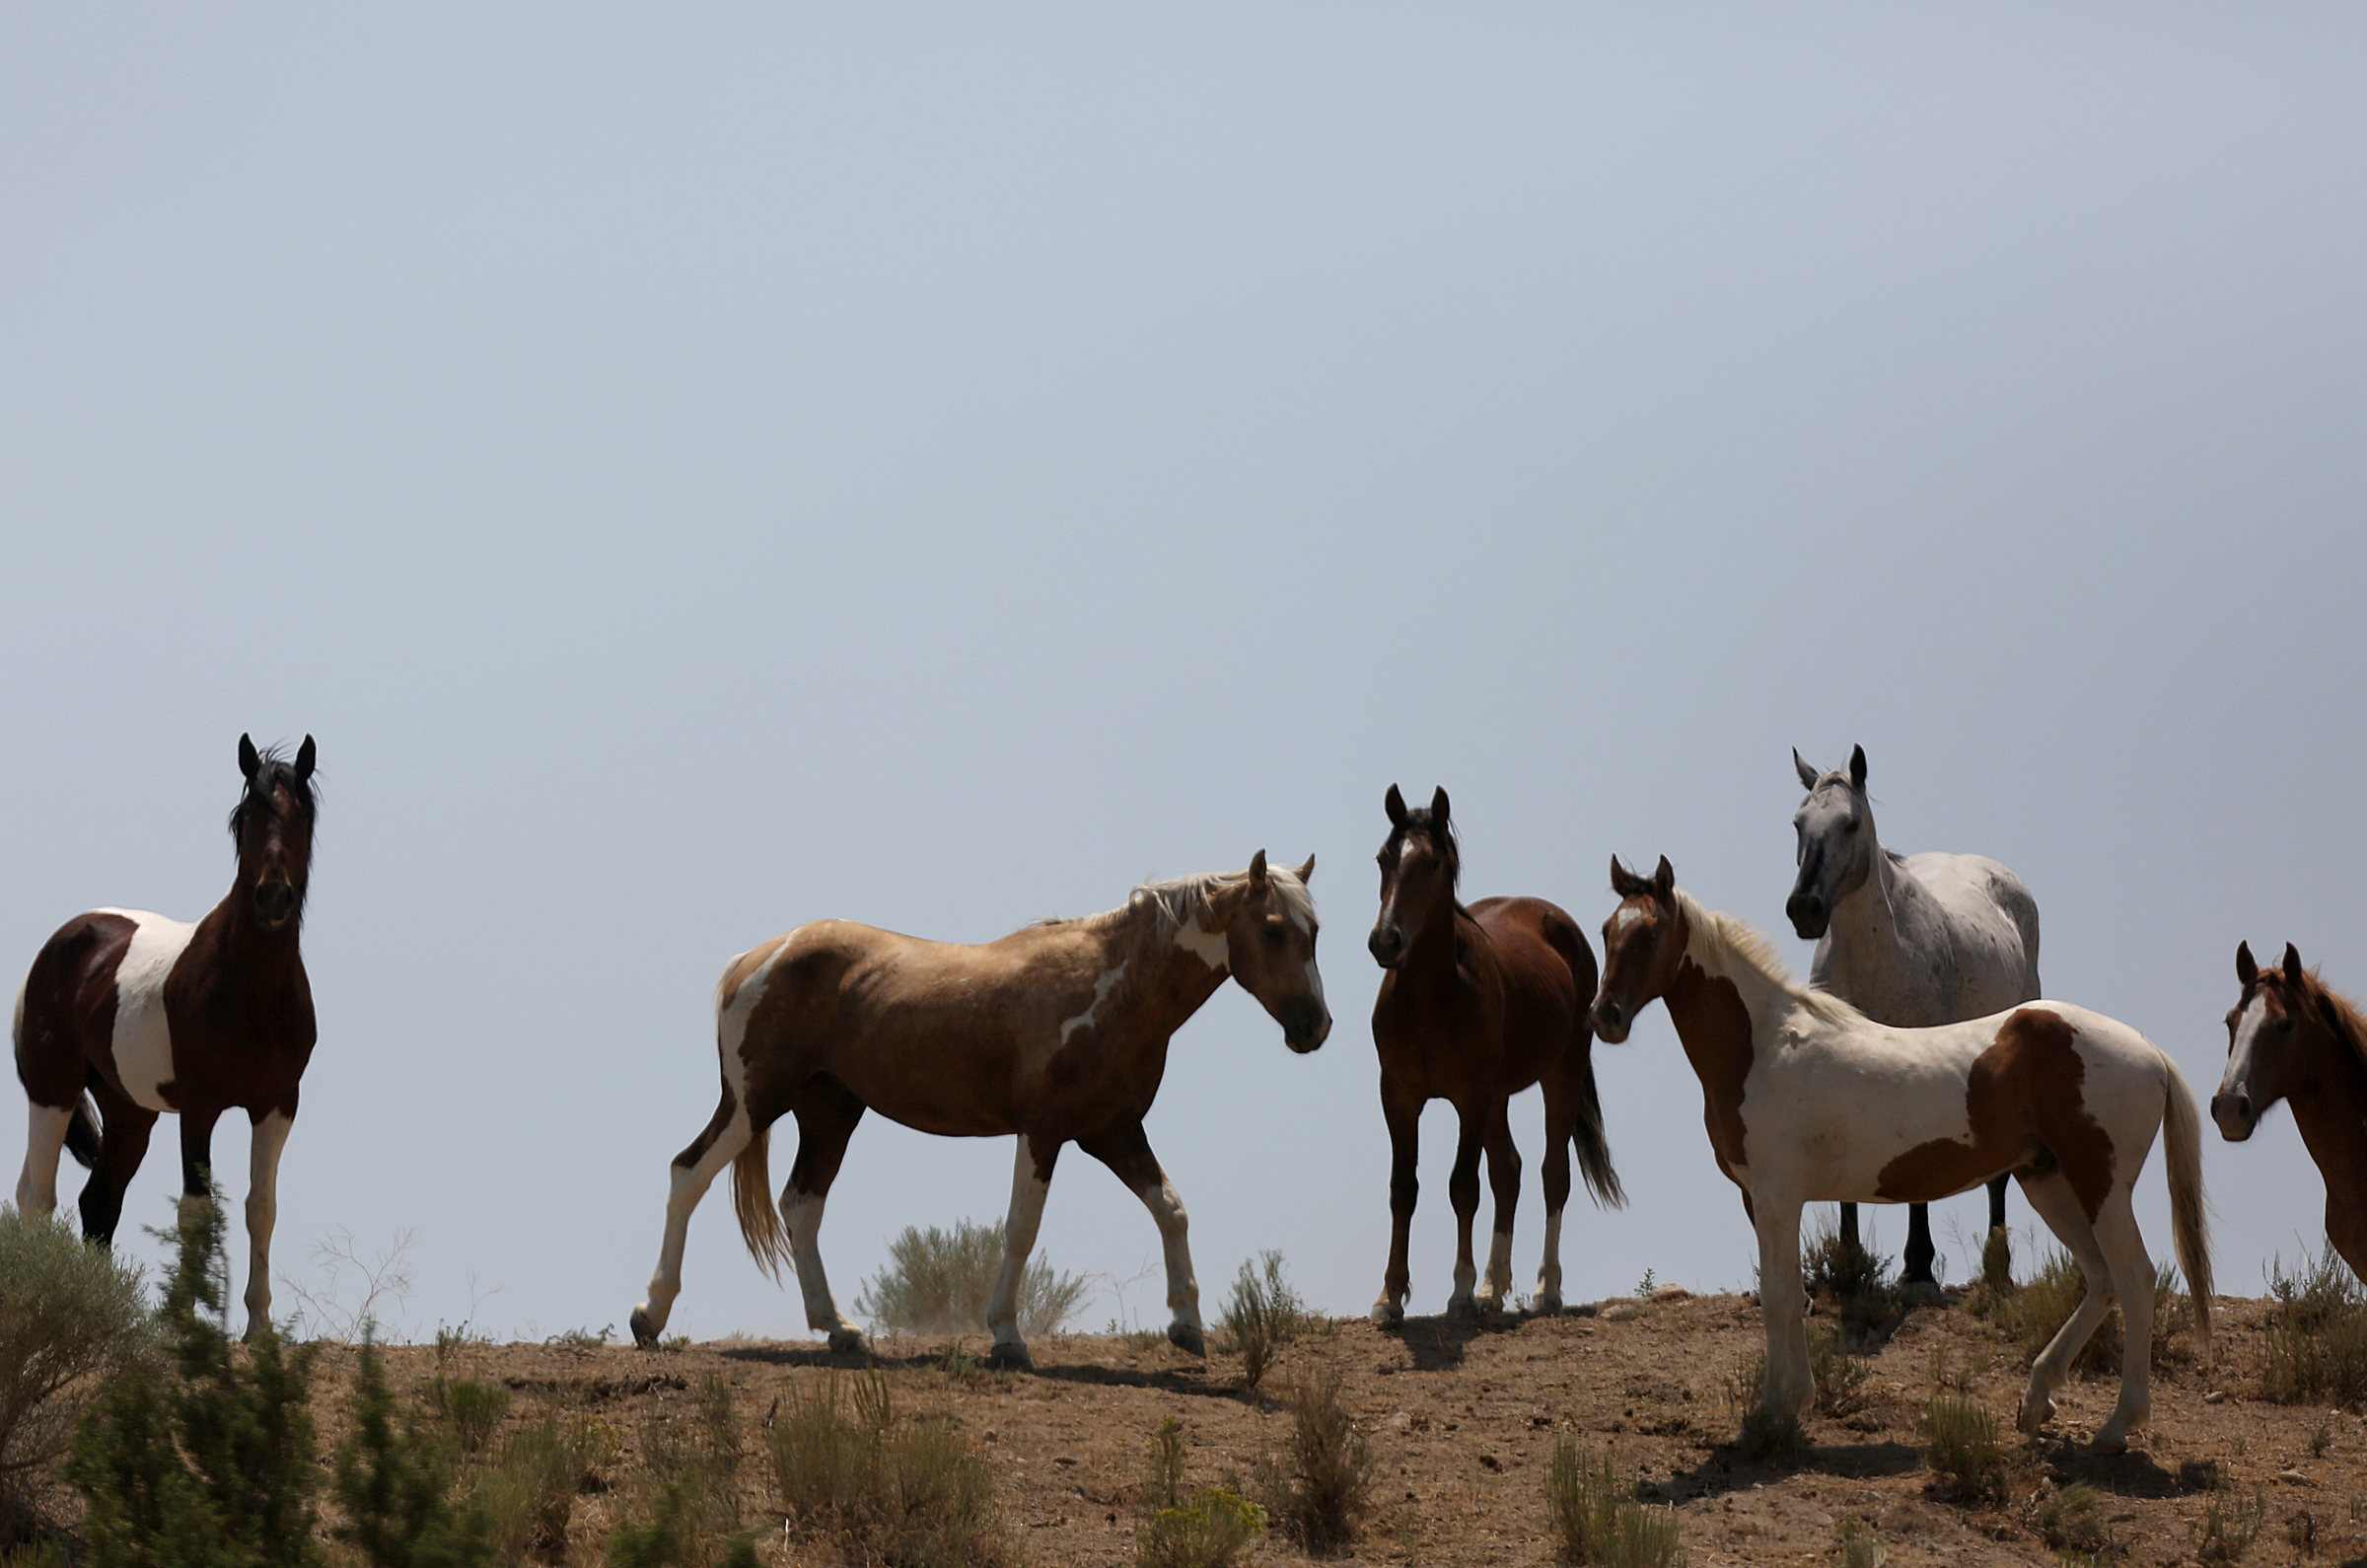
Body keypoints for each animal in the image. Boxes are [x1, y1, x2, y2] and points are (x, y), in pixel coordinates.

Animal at [14, 734, 319, 1342]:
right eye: (247, 816)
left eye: (302, 815)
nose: (273, 896)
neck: (249, 987)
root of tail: (60, 944)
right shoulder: (200, 1107)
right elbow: (196, 1209)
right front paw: (183, 1325)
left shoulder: (277, 1105)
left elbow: (262, 1207)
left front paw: (258, 1328)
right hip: (52, 1093)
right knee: (39, 1197)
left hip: (130, 1113)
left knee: (98, 1201)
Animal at [629, 851, 1330, 1368]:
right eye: (1273, 930)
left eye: (1315, 932)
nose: (1315, 1027)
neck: (1112, 984)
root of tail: (757, 959)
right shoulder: (1044, 1132)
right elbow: (1021, 1229)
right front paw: (1007, 1337)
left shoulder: (1114, 1132)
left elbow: (1172, 1208)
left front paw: (1186, 1325)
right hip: (754, 1103)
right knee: (689, 1174)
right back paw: (650, 1316)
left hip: (830, 1114)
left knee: (801, 1206)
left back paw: (840, 1329)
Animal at [1364, 785, 1621, 1321]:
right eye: (1382, 858)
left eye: (1433, 862)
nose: (1385, 940)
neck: (1431, 998)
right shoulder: (1398, 1096)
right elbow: (1403, 1188)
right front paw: (1390, 1296)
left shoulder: (1470, 1097)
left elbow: (1463, 1187)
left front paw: (1460, 1292)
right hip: (1498, 1097)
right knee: (1509, 1172)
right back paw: (1493, 1287)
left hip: (1558, 1074)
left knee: (1551, 1175)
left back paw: (1545, 1290)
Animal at [1592, 856, 2208, 1453]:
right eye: (1606, 931)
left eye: (1651, 933)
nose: (1605, 1017)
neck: (1763, 1045)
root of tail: (2150, 1052)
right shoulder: (1762, 1200)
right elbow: (1789, 1295)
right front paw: (1793, 1402)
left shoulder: (1775, 1197)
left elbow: (1779, 1297)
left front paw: (1773, 1414)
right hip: (2048, 1182)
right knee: (2102, 1280)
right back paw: (2036, 1402)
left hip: (2100, 1186)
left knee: (2134, 1280)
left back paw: (2117, 1426)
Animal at [1787, 744, 2042, 1288]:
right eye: (1798, 822)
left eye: (1851, 823)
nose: (1804, 908)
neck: (1874, 960)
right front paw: (1848, 1263)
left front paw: (1918, 1268)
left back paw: (1998, 1270)